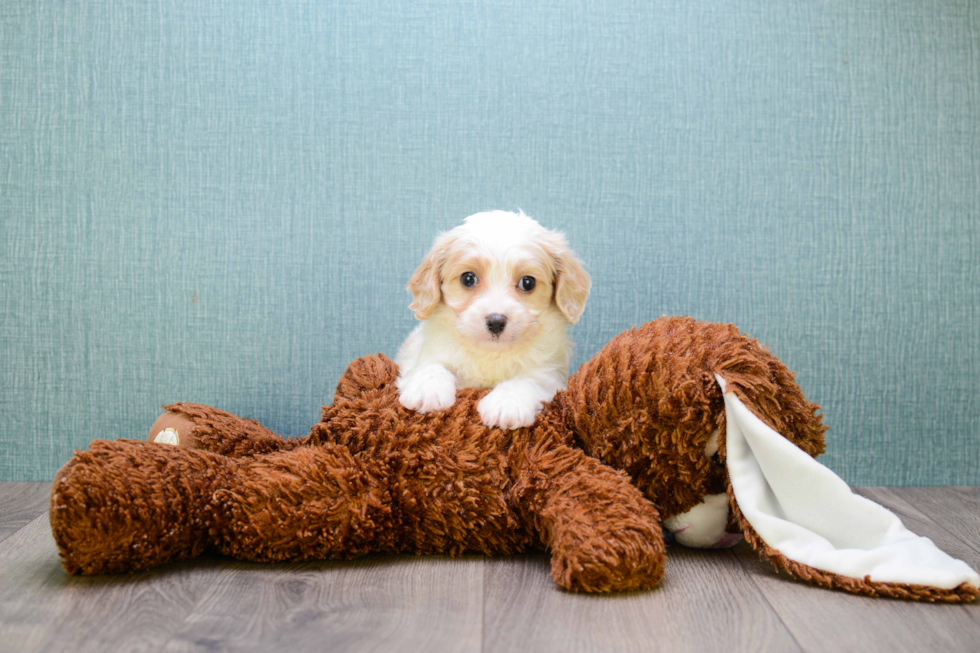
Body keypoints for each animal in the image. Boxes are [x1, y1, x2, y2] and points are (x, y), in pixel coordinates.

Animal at [396, 211, 588, 430]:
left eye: (528, 282)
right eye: (468, 279)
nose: (496, 321)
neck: (491, 352)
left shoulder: (550, 374)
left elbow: (527, 380)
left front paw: (506, 404)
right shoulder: (425, 353)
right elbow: (431, 366)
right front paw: (427, 391)